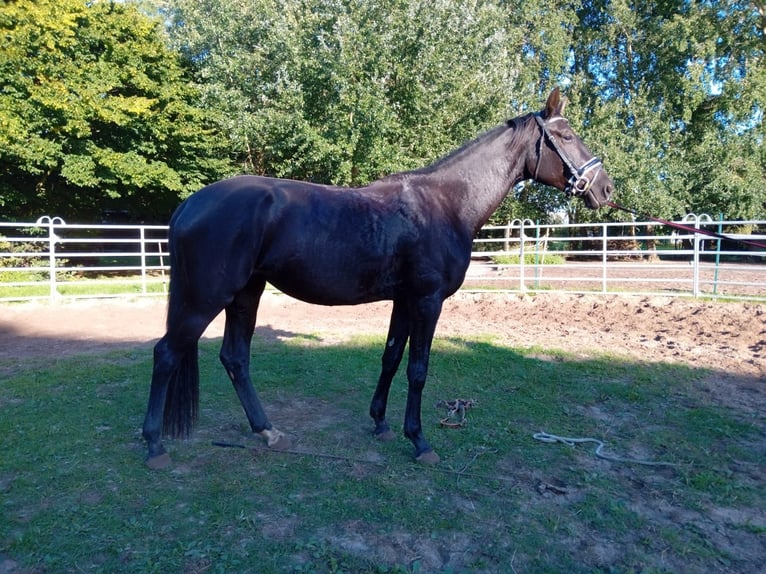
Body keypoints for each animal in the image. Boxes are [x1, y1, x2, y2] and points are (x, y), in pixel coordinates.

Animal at [142, 88, 614, 468]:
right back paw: (154, 446)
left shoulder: (404, 300)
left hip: (245, 294)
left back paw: (266, 430)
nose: (605, 189)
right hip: (206, 297)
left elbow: (390, 358)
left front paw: (381, 424)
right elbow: (418, 369)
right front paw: (419, 442)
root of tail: (190, 205)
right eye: (566, 136)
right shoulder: (427, 301)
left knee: (235, 358)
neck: (446, 203)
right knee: (166, 354)